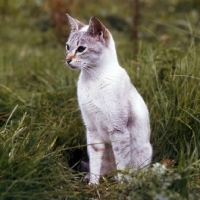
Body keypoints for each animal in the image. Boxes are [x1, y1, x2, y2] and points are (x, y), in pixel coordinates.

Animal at [65, 14, 152, 185]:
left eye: (81, 49)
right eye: (67, 47)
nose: (67, 60)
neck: (92, 78)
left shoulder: (118, 130)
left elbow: (122, 163)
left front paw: (121, 185)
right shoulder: (92, 129)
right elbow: (95, 163)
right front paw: (93, 184)